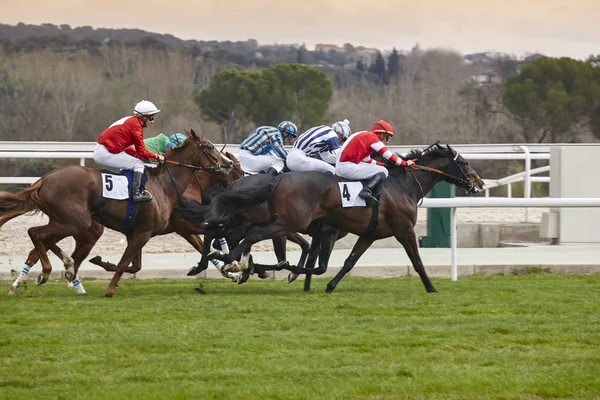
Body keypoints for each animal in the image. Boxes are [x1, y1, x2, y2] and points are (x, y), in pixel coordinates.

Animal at [0, 130, 232, 296]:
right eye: (209, 146)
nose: (228, 164)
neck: (164, 185)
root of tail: (45, 179)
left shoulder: (137, 231)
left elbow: (133, 266)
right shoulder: (148, 232)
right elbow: (125, 263)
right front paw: (110, 289)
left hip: (69, 222)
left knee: (43, 240)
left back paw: (62, 270)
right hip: (75, 222)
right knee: (35, 233)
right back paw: (49, 273)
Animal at [200, 142, 482, 292]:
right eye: (465, 163)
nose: (478, 183)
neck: (402, 186)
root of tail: (278, 179)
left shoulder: (368, 233)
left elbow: (347, 262)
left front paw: (328, 285)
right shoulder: (403, 229)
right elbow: (417, 261)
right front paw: (431, 287)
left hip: (275, 218)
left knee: (229, 233)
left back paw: (228, 263)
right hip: (290, 221)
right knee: (246, 235)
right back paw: (234, 263)